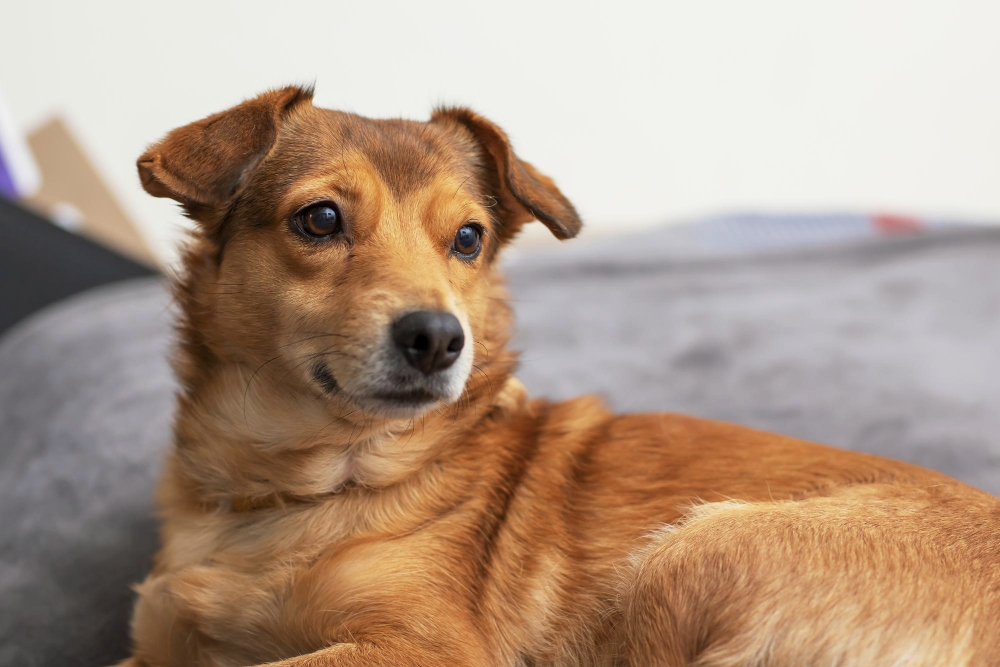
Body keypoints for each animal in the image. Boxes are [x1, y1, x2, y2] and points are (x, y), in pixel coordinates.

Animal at [119, 86, 1000, 664]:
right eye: (320, 219)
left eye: (468, 238)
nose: (439, 337)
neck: (287, 490)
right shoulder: (157, 647)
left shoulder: (425, 649)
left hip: (691, 556)